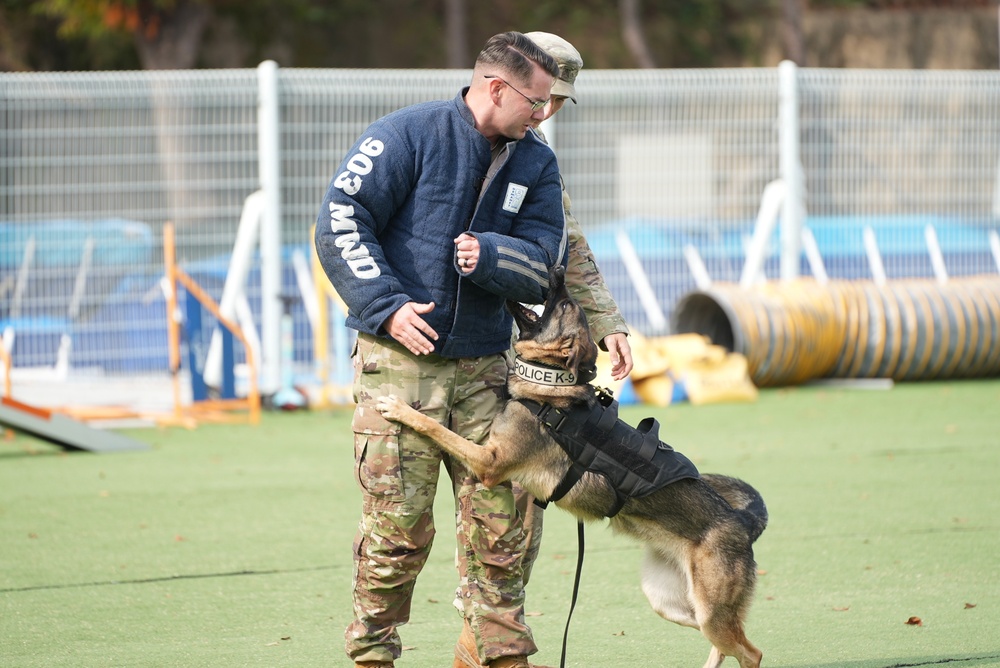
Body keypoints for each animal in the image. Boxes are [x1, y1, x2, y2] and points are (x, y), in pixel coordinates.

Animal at [378, 266, 768, 668]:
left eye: (565, 305)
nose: (558, 270)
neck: (549, 385)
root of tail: (742, 521)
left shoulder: (490, 462)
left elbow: (438, 428)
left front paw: (402, 409)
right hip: (674, 603)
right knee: (725, 643)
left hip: (709, 611)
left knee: (751, 651)